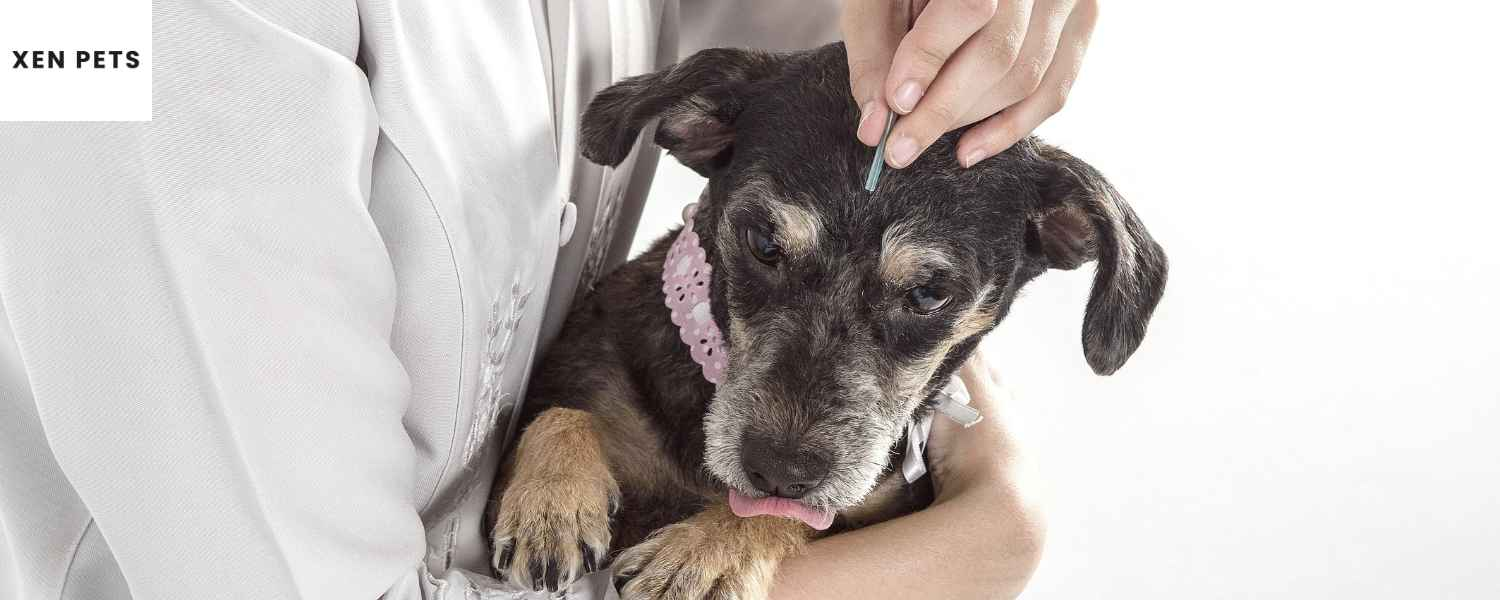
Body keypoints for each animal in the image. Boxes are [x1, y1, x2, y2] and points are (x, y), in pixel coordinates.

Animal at [486, 39, 1164, 597]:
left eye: (930, 293)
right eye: (762, 241)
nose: (780, 473)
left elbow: (806, 518)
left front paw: (704, 557)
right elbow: (563, 413)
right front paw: (551, 505)